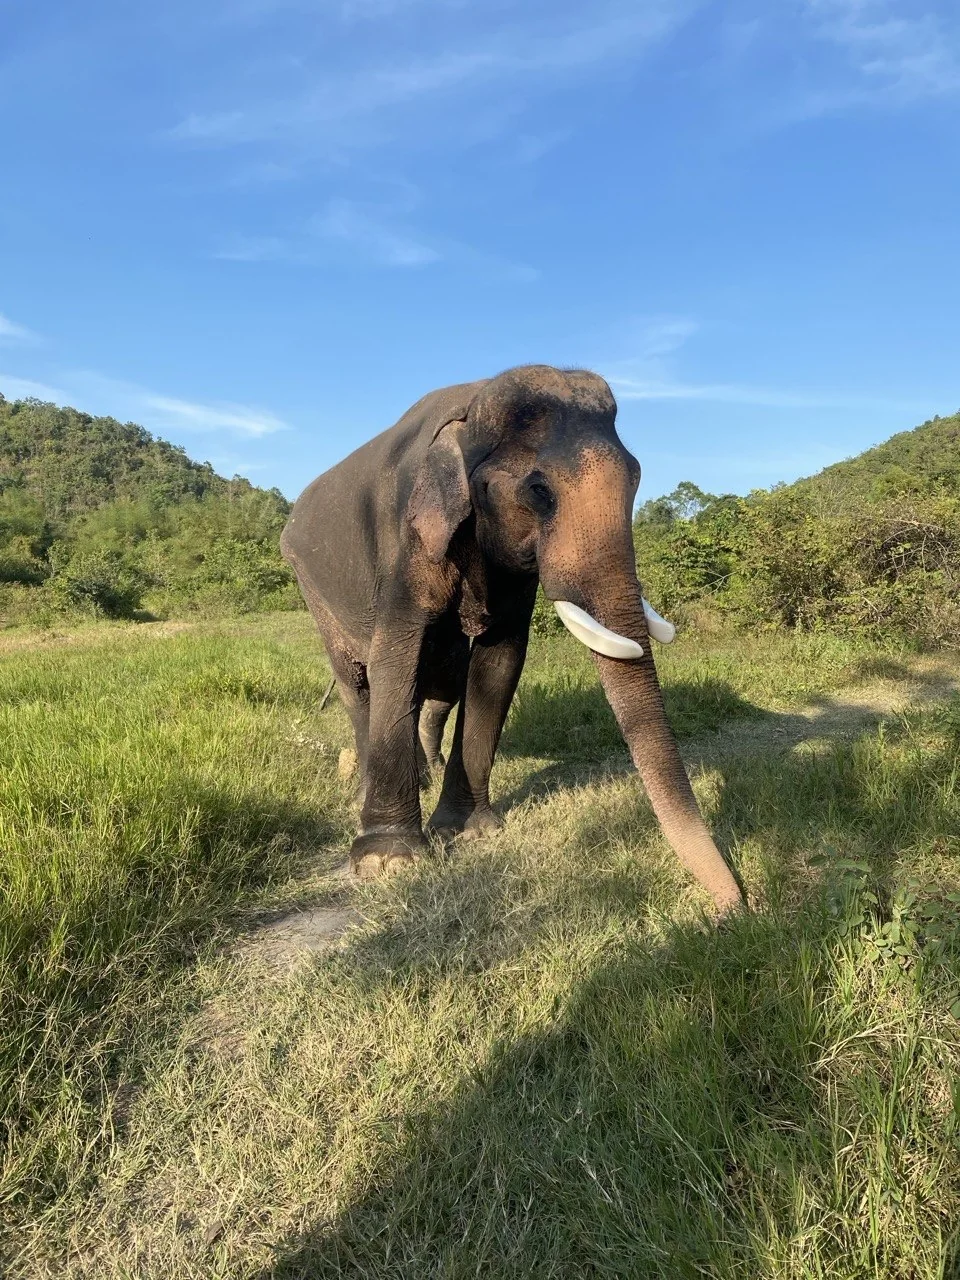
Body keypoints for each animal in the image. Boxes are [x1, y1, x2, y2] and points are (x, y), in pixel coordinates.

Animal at [281, 365, 744, 915]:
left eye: (636, 477)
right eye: (539, 491)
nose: (735, 908)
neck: (469, 413)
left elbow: (499, 661)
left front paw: (471, 831)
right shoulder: (405, 538)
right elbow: (396, 656)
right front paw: (387, 862)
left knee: (440, 688)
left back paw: (427, 774)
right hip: (314, 591)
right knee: (359, 687)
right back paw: (366, 790)